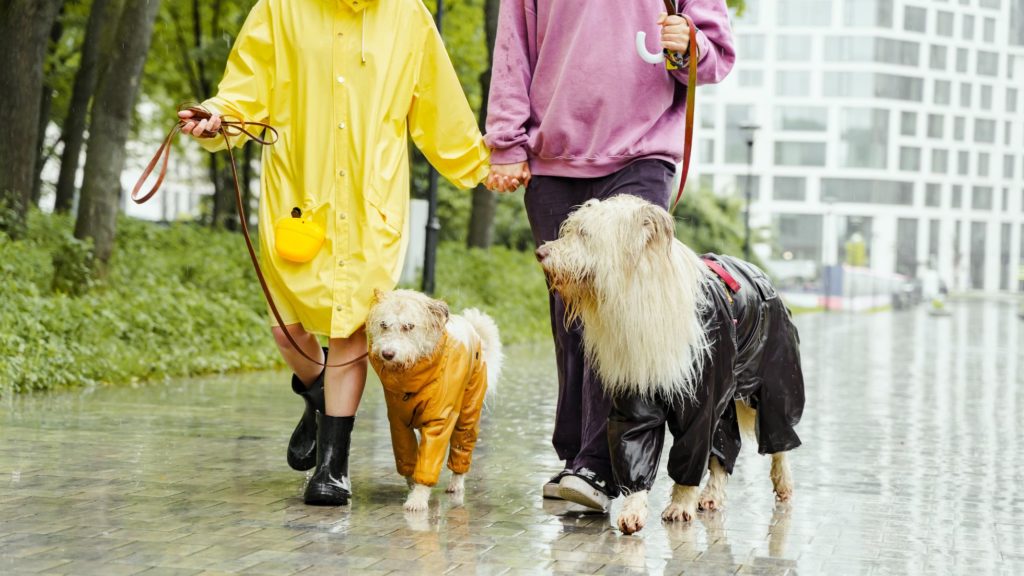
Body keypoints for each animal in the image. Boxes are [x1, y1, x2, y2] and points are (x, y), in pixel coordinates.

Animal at [366, 289, 501, 508]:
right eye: (384, 325)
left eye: (409, 326)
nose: (387, 354)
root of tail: (472, 328)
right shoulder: (398, 424)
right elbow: (408, 457)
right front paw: (414, 487)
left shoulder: (439, 421)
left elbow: (430, 458)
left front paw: (418, 498)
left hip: (468, 414)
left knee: (461, 448)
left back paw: (456, 483)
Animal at [540, 193, 802, 532]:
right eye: (570, 230)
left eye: (584, 234)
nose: (541, 253)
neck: (639, 295)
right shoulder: (635, 386)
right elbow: (633, 441)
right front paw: (634, 508)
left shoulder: (702, 395)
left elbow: (690, 450)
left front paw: (680, 504)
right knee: (725, 445)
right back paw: (712, 495)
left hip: (775, 375)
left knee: (778, 434)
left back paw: (783, 481)